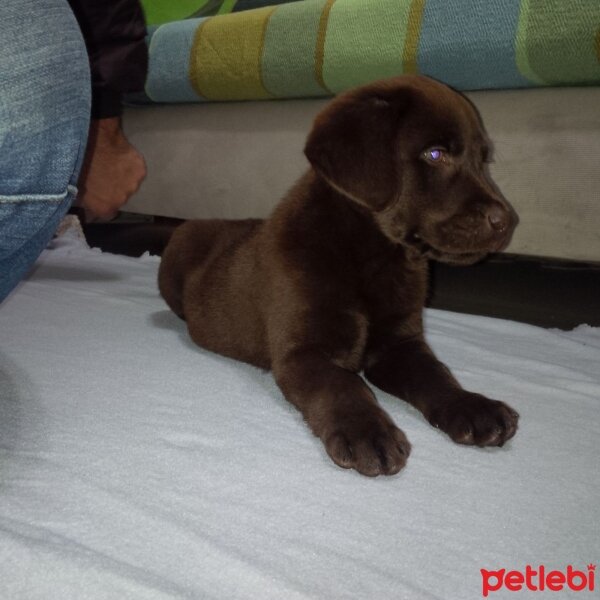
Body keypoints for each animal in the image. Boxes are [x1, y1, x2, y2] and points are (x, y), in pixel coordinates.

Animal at [159, 76, 520, 478]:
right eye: (435, 155)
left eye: (483, 159)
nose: (505, 221)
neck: (376, 257)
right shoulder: (305, 353)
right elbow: (343, 386)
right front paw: (367, 432)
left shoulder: (400, 344)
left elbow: (436, 374)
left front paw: (473, 406)